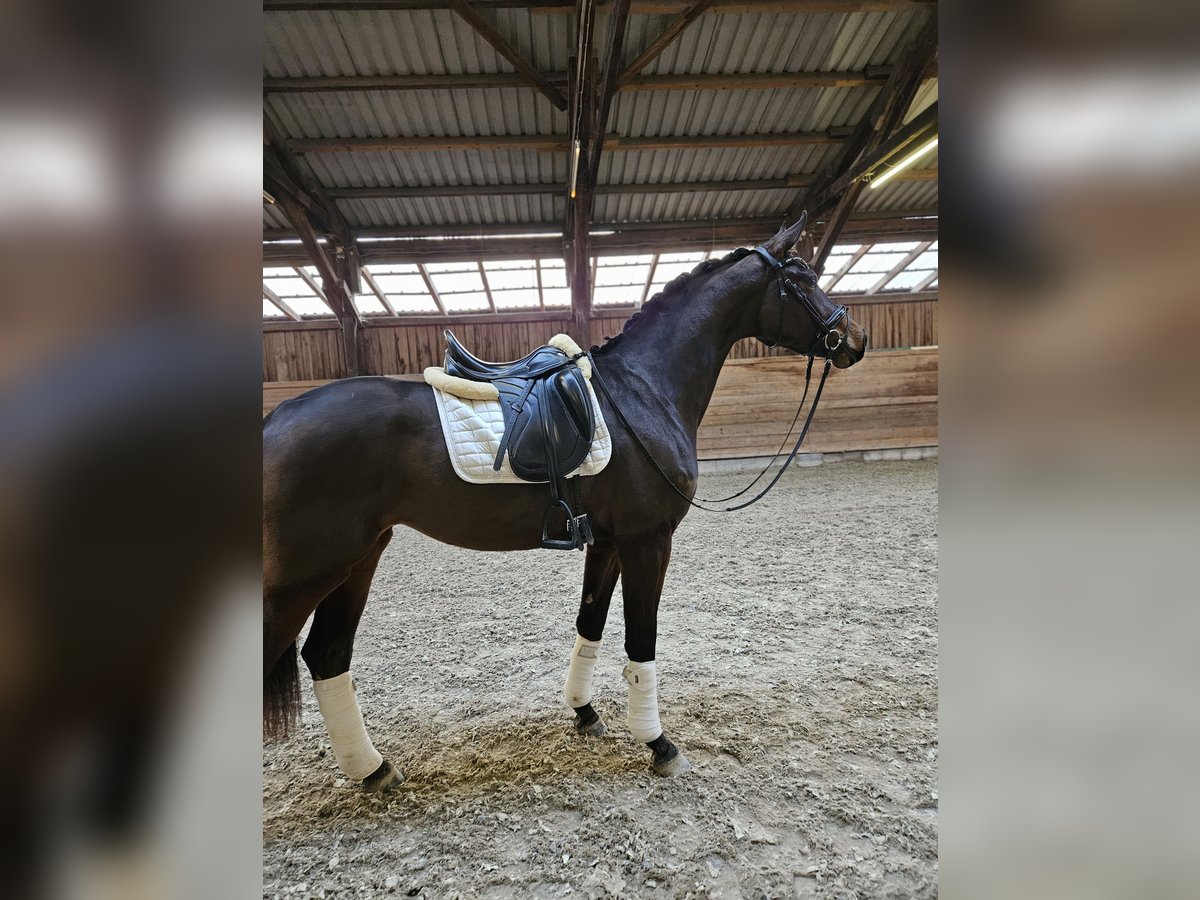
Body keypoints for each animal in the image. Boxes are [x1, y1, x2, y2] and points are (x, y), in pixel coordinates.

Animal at [262, 217, 868, 787]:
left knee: (327, 655)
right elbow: (641, 639)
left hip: (358, 559)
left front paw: (585, 712)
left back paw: (373, 769)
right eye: (802, 279)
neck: (641, 393)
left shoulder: (607, 544)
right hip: (309, 572)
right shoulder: (648, 541)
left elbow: (590, 624)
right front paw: (658, 744)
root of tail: (274, 421)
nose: (855, 338)